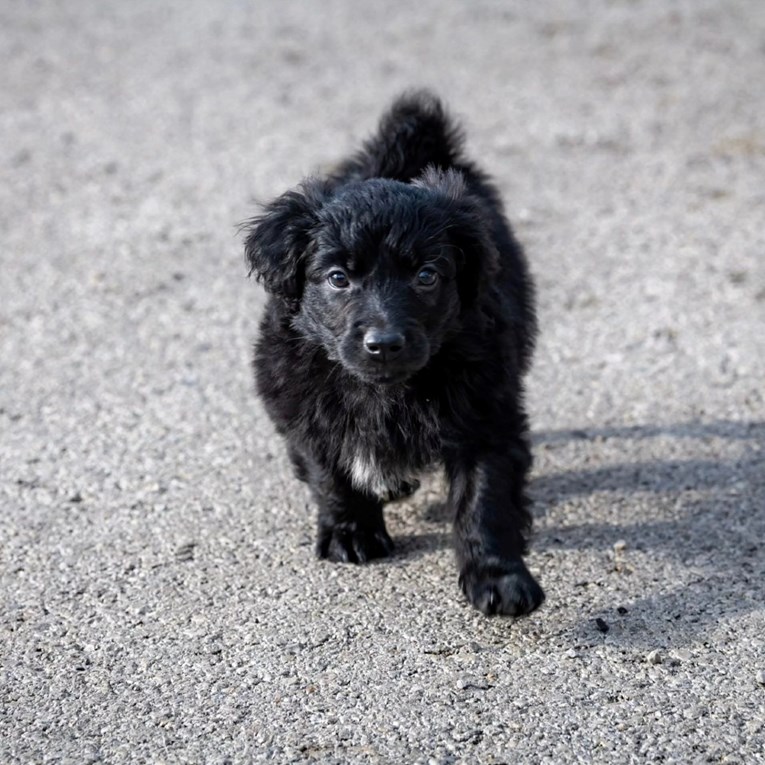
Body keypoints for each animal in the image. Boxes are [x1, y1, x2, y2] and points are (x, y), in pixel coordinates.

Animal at [245, 91, 544, 616]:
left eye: (426, 276)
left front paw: (499, 578)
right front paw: (352, 532)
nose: (383, 344)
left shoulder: (487, 414)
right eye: (338, 278)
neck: (383, 392)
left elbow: (485, 501)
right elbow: (329, 471)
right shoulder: (298, 402)